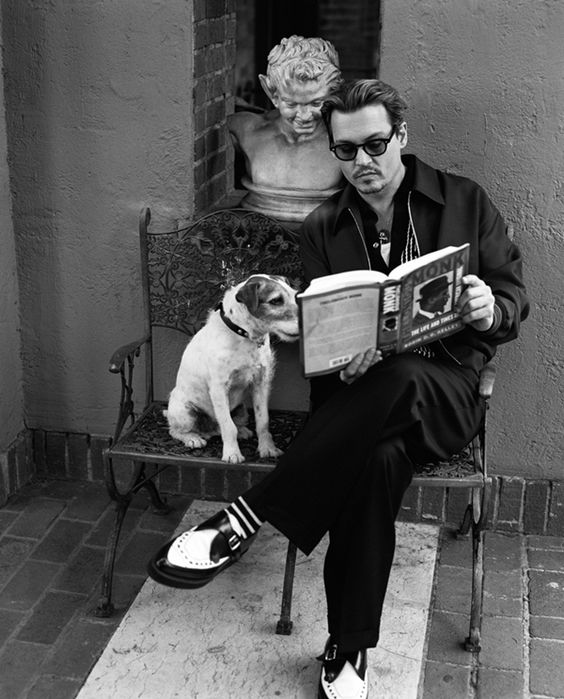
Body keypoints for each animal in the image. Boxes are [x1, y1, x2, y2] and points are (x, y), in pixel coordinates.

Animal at [166, 274, 300, 464]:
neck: (243, 335)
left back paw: (242, 431)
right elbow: (228, 427)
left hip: (241, 410)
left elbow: (263, 422)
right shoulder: (219, 388)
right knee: (176, 430)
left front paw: (267, 448)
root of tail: (210, 430)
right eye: (275, 301)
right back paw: (193, 438)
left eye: (294, 295)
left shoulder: (261, 384)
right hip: (184, 412)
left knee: (229, 425)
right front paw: (232, 453)